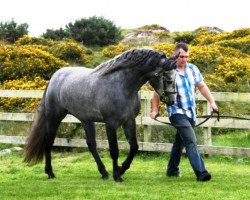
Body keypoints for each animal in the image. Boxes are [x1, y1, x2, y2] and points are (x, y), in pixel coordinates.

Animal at [23, 48, 178, 181]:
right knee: (48, 143)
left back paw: (104, 173)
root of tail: (54, 78)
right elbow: (114, 150)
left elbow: (134, 147)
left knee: (91, 145)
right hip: (54, 118)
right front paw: (117, 175)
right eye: (166, 76)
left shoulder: (129, 121)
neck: (122, 85)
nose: (172, 100)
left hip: (86, 120)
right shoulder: (111, 124)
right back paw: (50, 173)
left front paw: (121, 168)